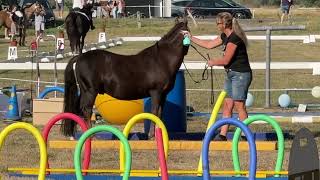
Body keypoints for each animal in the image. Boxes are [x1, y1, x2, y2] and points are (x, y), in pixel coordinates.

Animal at [61, 17, 189, 136]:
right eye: (187, 31)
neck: (161, 60)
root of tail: (80, 56)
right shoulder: (156, 92)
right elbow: (154, 112)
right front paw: (151, 135)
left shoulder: (163, 95)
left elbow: (160, 114)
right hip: (90, 91)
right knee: (86, 110)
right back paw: (91, 134)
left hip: (84, 91)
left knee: (78, 109)